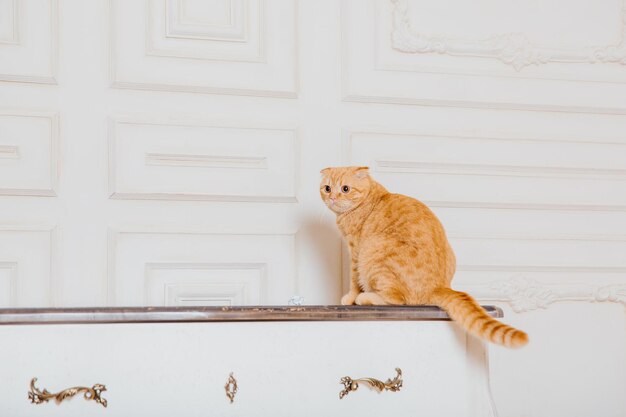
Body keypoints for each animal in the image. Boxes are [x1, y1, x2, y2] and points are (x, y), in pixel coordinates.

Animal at [322, 166, 528, 348]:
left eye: (345, 189)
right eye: (327, 188)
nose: (332, 197)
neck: (369, 197)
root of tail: (438, 286)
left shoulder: (356, 251)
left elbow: (354, 280)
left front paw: (351, 297)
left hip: (373, 251)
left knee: (397, 300)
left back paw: (365, 297)